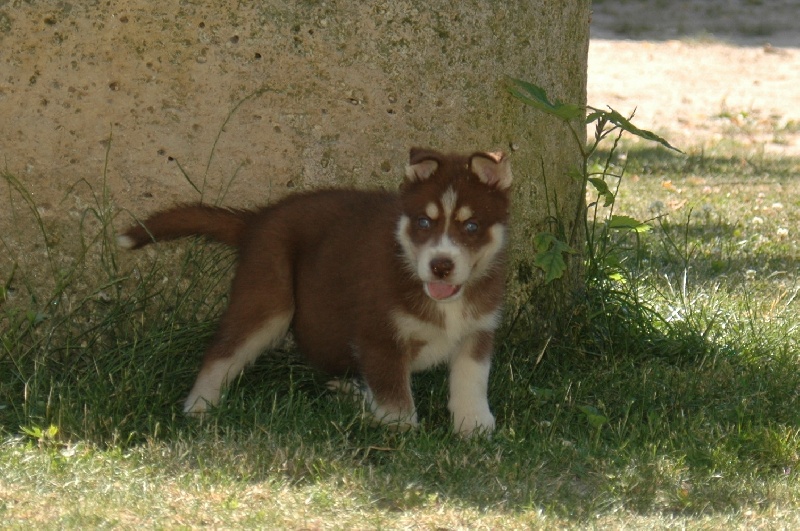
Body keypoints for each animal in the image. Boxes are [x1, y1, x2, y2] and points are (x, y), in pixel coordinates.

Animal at [117, 148, 512, 436]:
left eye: (472, 226)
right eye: (424, 222)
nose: (441, 265)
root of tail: (257, 219)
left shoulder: (478, 330)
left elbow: (472, 380)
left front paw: (474, 426)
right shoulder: (378, 334)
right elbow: (395, 396)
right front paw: (400, 433)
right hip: (269, 298)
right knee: (221, 352)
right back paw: (199, 407)